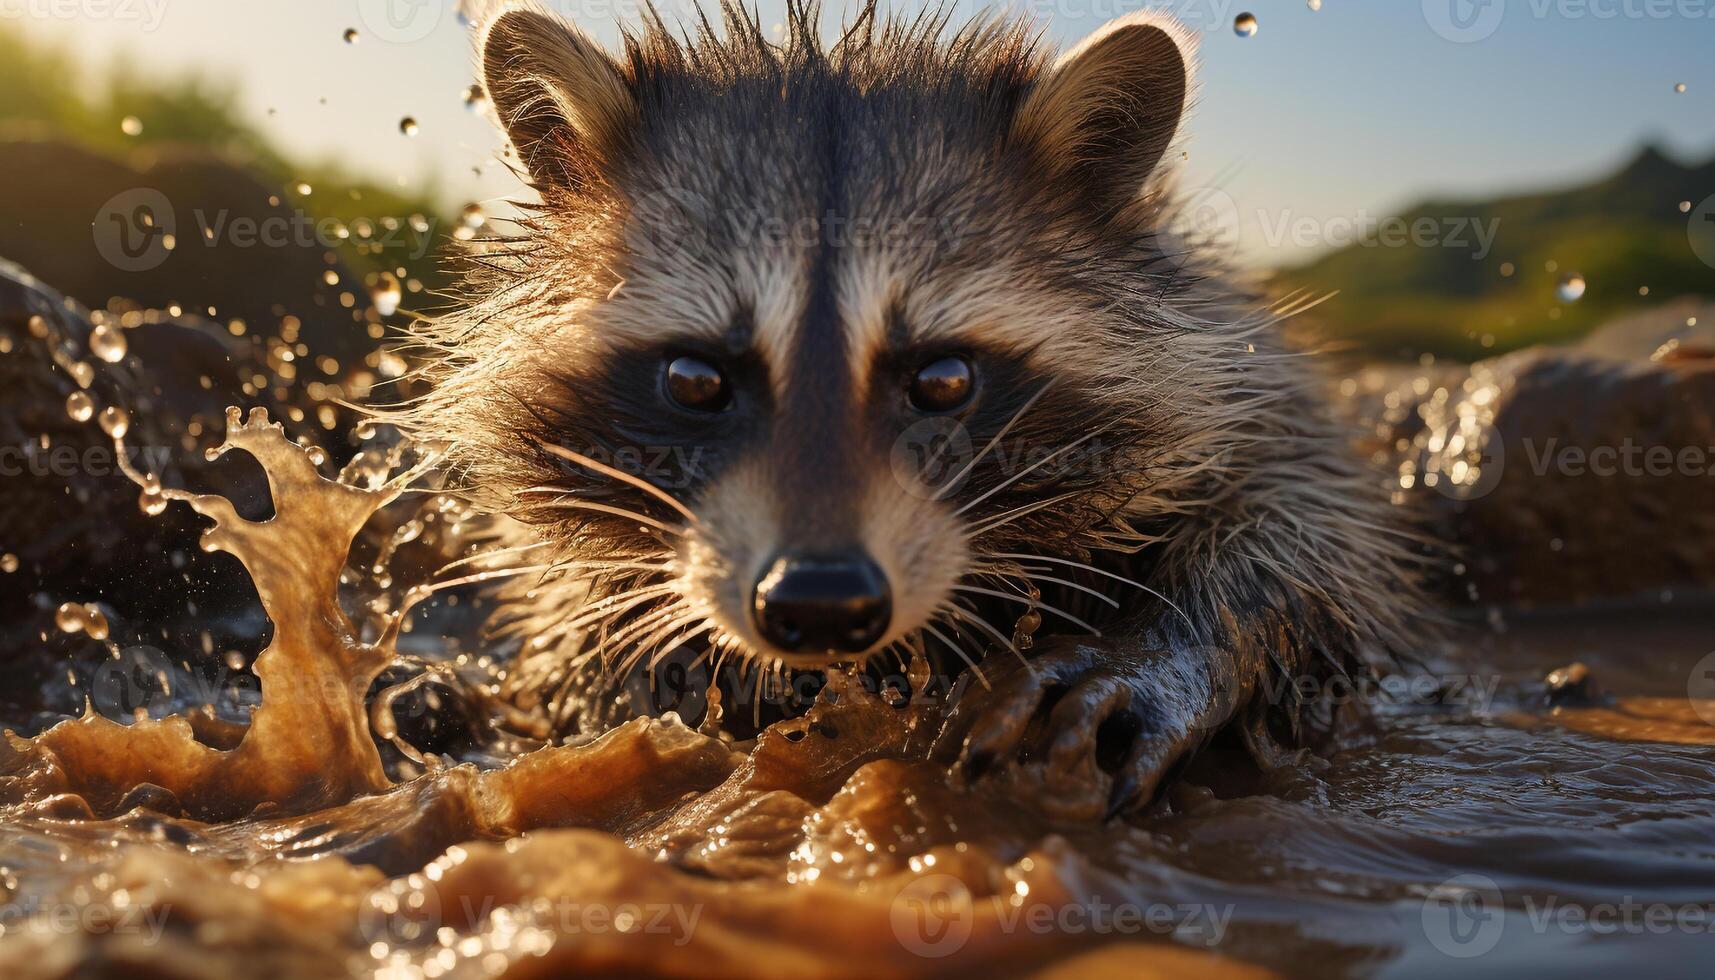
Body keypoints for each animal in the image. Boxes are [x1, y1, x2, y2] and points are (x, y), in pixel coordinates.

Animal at [394, 1, 1426, 820]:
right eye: (694, 380)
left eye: (941, 381)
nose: (816, 602)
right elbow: (562, 606)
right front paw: (635, 652)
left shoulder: (1237, 363)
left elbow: (1299, 516)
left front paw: (1170, 647)